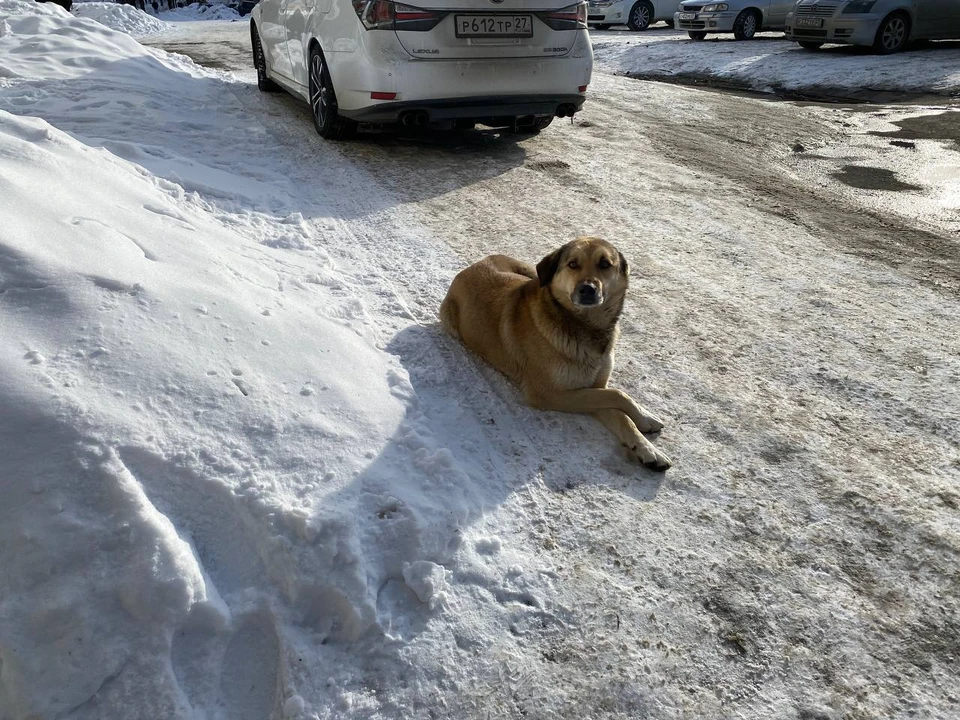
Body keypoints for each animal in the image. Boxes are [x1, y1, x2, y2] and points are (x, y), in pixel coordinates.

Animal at [440, 236, 672, 472]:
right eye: (573, 264)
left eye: (605, 264)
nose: (587, 289)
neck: (584, 328)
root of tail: (472, 267)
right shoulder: (549, 392)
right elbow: (617, 394)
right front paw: (643, 422)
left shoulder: (592, 387)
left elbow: (619, 411)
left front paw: (647, 445)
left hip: (530, 273)